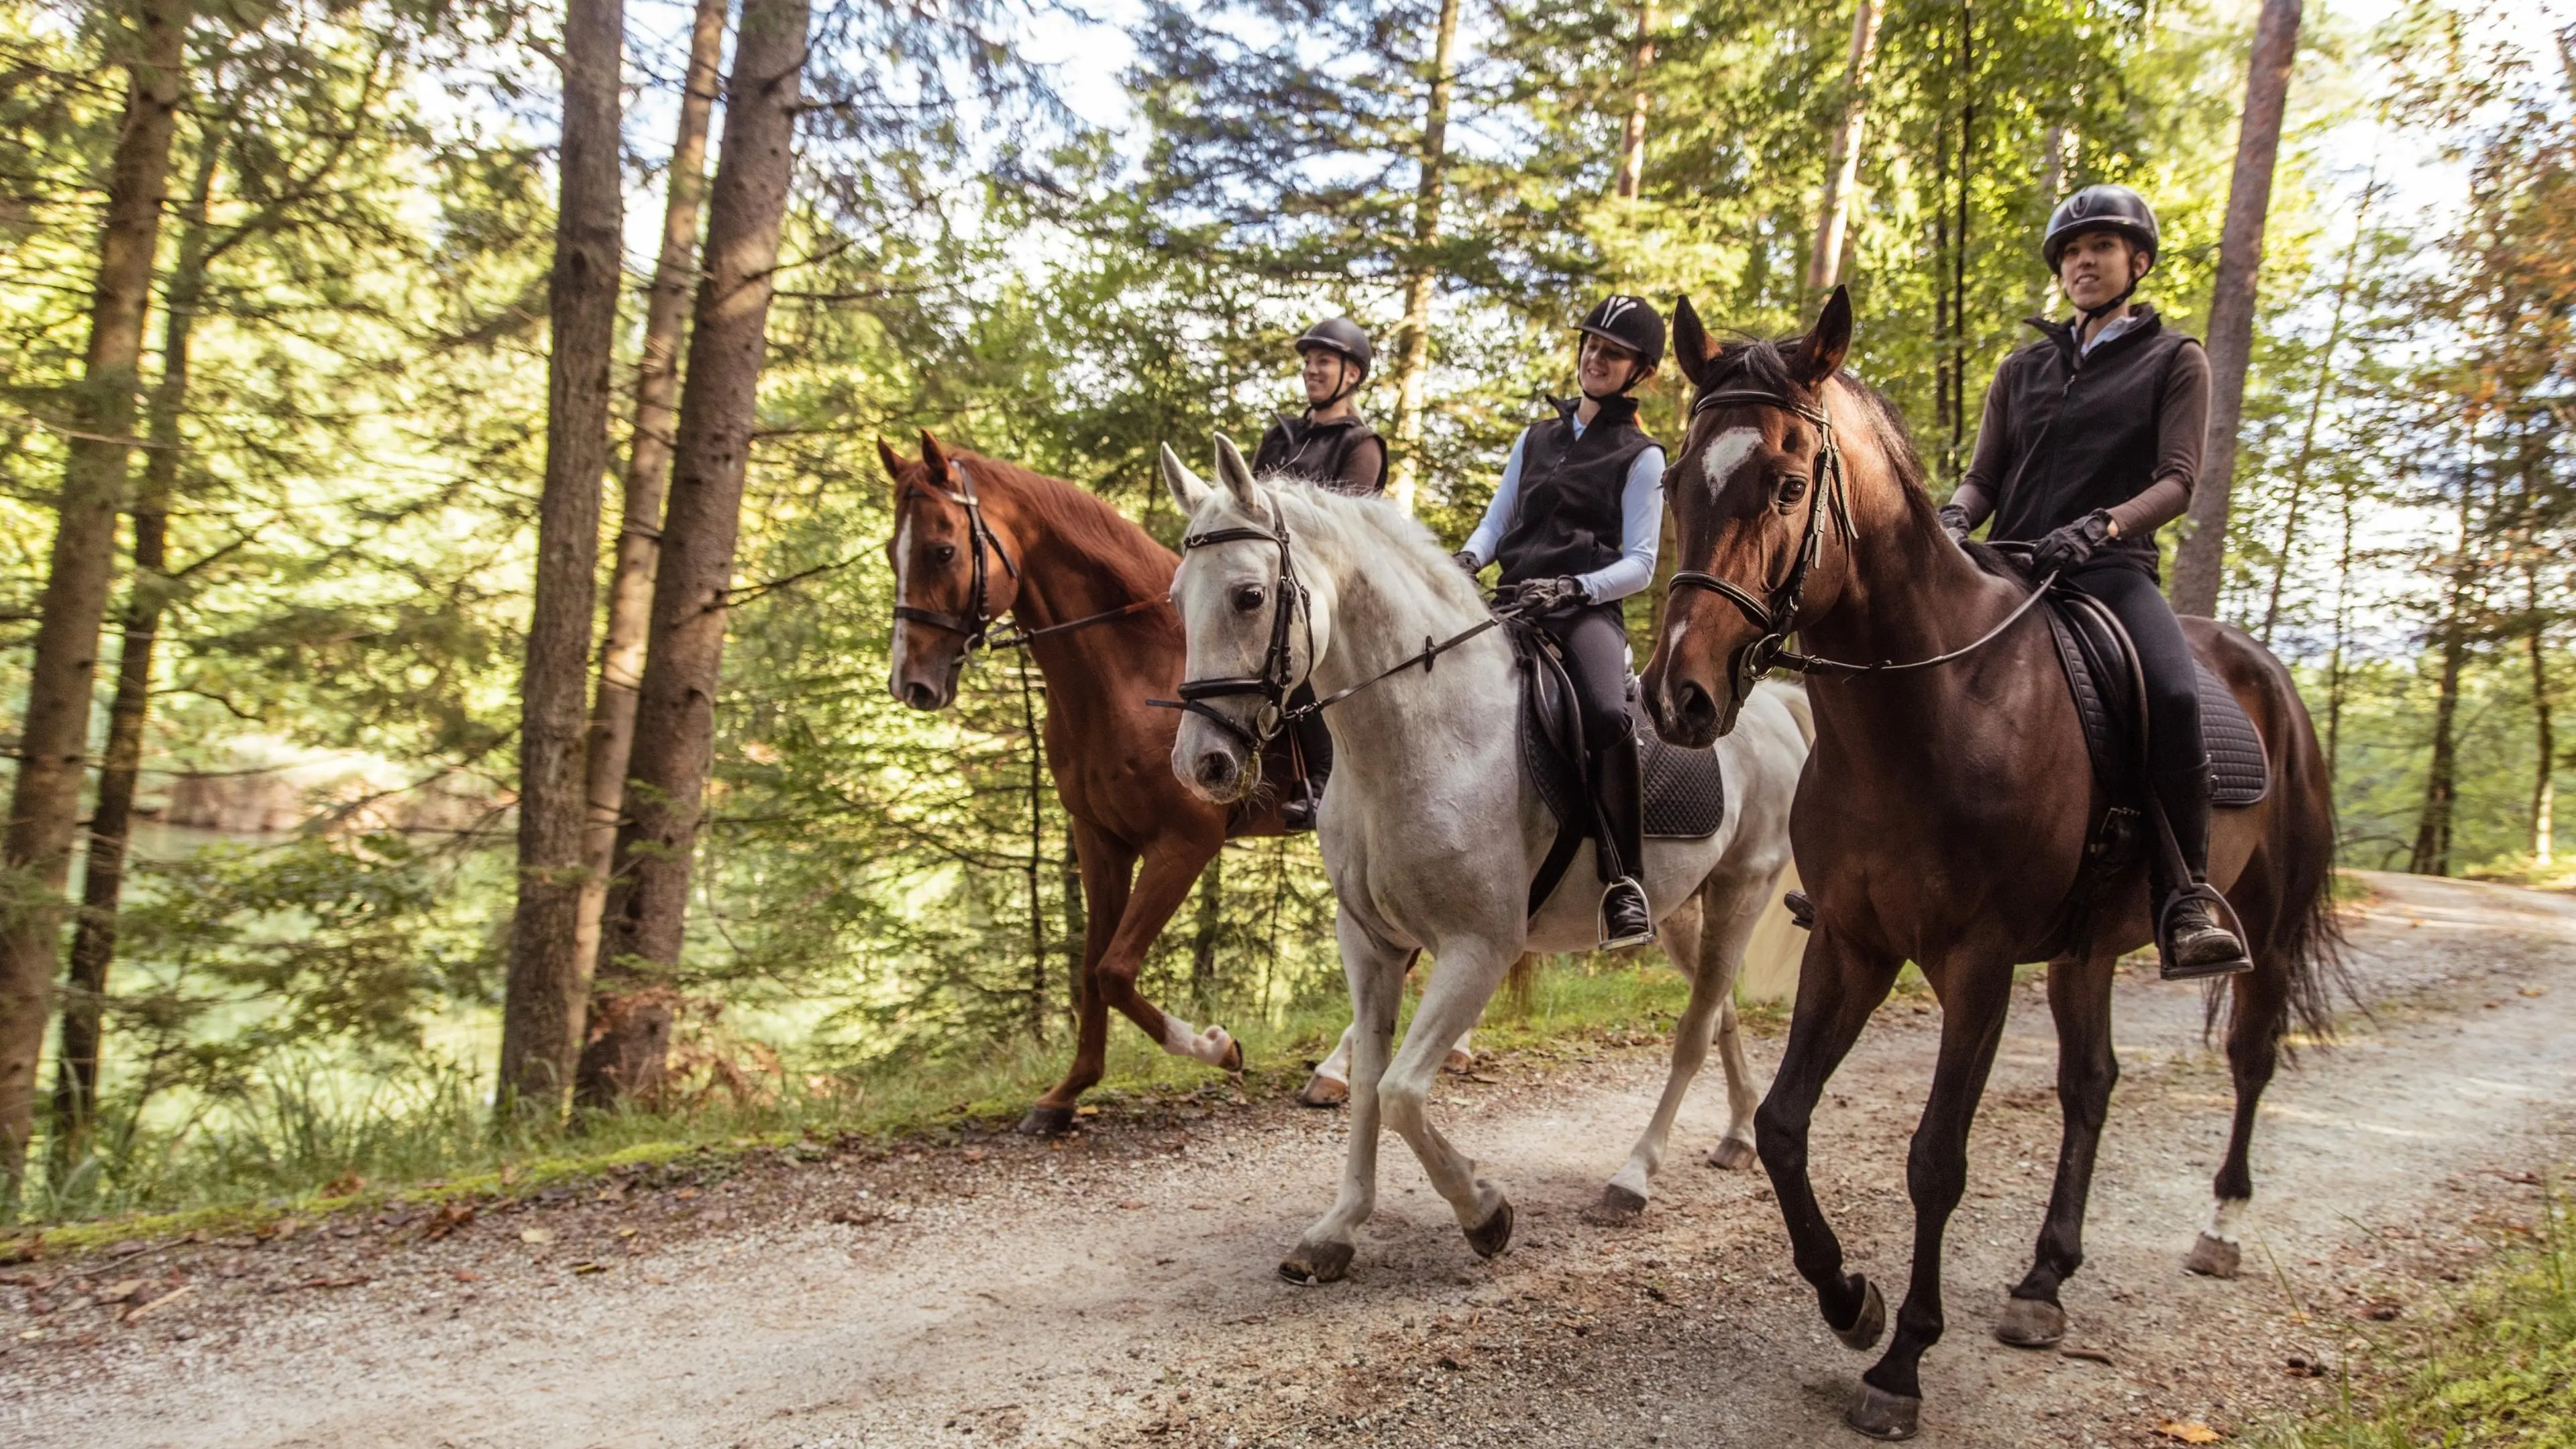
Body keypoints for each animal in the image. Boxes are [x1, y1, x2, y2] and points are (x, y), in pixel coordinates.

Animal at [1159, 441, 1803, 1273]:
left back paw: (1634, 1178)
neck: (1422, 734)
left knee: (1693, 1033)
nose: (1199, 764)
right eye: (1178, 601)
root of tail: (1773, 705)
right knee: (1718, 1012)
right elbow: (1370, 1082)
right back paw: (1737, 1135)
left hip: (1741, 893)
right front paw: (1338, 1228)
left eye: (1247, 596)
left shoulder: (1479, 948)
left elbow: (1402, 1092)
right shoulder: (1369, 943)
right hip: (1684, 912)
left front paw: (1483, 1210)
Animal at [1638, 290, 2349, 1433]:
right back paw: (2045, 1280)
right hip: (2086, 953)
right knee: (2091, 1084)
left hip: (2267, 926)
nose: (1678, 697)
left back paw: (2221, 1227)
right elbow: (1787, 1126)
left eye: (1788, 484)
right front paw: (1851, 1299)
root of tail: (2263, 670)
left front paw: (1900, 1365)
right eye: (1675, 484)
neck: (1933, 706)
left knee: (2251, 1057)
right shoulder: (1852, 943)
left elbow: (1936, 1159)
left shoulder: (1975, 966)